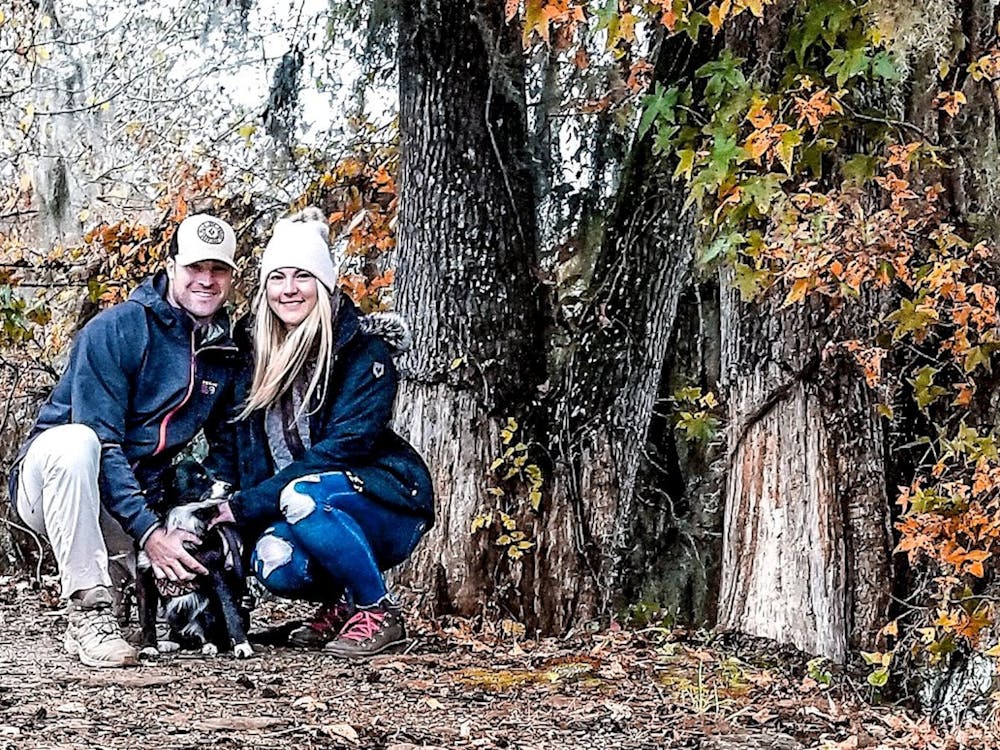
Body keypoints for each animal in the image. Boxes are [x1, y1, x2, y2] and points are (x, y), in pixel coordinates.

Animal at [135, 462, 252, 660]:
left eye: (213, 474)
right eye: (200, 477)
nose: (229, 487)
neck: (181, 520)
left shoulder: (215, 571)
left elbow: (229, 610)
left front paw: (242, 645)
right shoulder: (144, 575)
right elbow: (146, 617)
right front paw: (148, 647)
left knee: (213, 632)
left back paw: (211, 645)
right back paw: (170, 643)